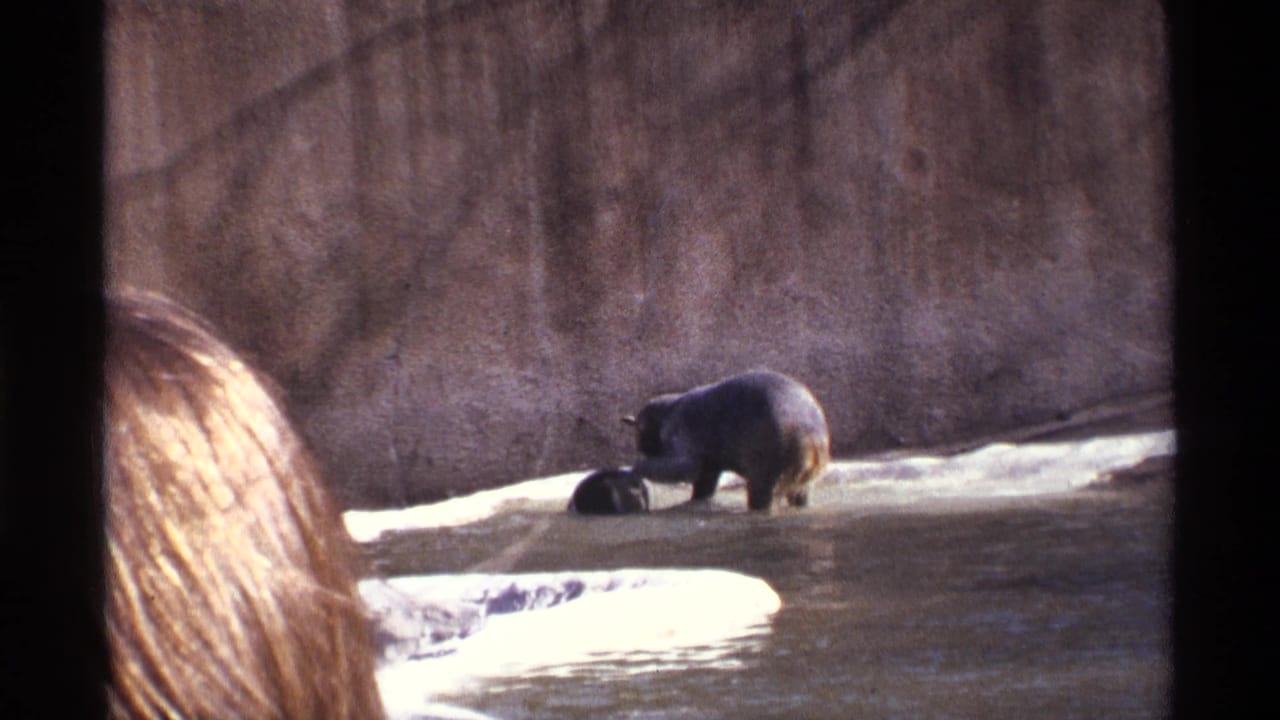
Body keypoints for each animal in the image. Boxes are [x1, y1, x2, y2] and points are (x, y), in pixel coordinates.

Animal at [622, 370, 830, 511]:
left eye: (638, 434)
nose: (639, 447)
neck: (664, 414)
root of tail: (811, 440)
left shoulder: (679, 428)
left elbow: (686, 465)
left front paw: (637, 466)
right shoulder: (711, 459)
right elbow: (705, 478)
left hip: (770, 452)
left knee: (762, 490)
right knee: (800, 491)